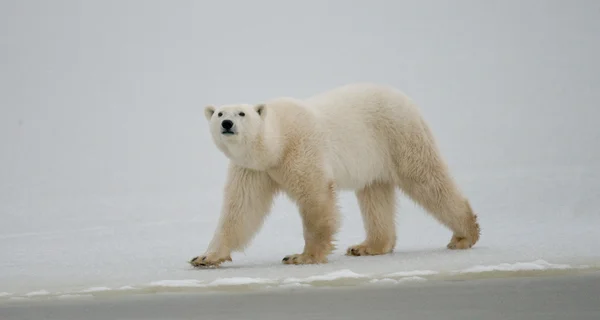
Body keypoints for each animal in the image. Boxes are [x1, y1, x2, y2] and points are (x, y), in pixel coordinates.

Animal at [190, 82, 480, 268]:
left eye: (242, 113)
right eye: (219, 113)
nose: (227, 124)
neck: (276, 144)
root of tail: (404, 98)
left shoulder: (300, 148)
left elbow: (315, 196)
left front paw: (302, 257)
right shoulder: (253, 169)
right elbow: (241, 210)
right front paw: (204, 257)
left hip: (398, 134)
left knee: (426, 178)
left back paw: (464, 235)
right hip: (374, 156)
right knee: (375, 194)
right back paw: (367, 246)